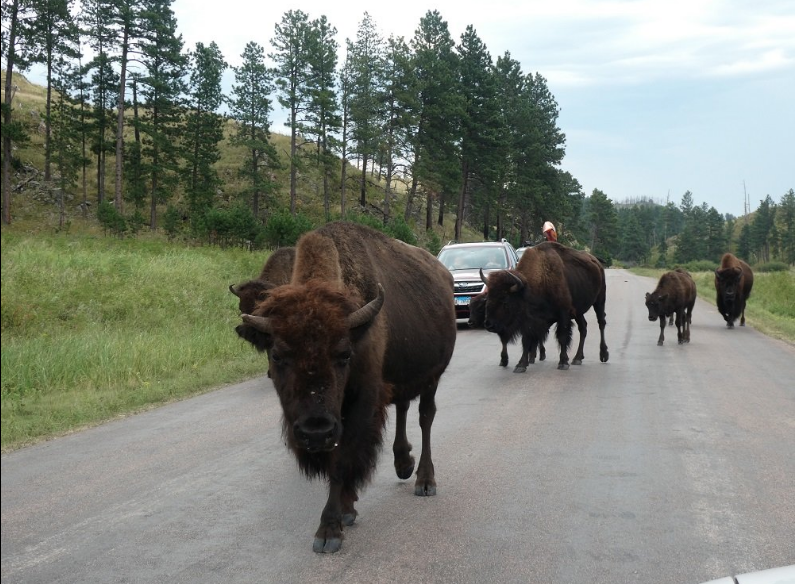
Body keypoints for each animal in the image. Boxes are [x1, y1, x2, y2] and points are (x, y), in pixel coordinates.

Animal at [235, 221, 454, 556]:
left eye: (344, 354)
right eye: (278, 355)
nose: (314, 432)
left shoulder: (357, 408)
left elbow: (341, 462)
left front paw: (329, 530)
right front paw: (348, 509)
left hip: (433, 377)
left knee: (425, 417)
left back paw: (424, 481)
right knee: (403, 407)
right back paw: (403, 463)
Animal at [478, 243, 608, 372]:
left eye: (505, 301)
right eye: (488, 298)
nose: (489, 324)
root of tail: (597, 263)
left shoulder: (563, 314)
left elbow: (562, 337)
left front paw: (563, 362)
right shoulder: (529, 321)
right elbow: (526, 340)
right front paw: (521, 365)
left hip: (599, 301)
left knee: (601, 323)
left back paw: (603, 355)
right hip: (578, 312)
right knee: (583, 328)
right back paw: (577, 358)